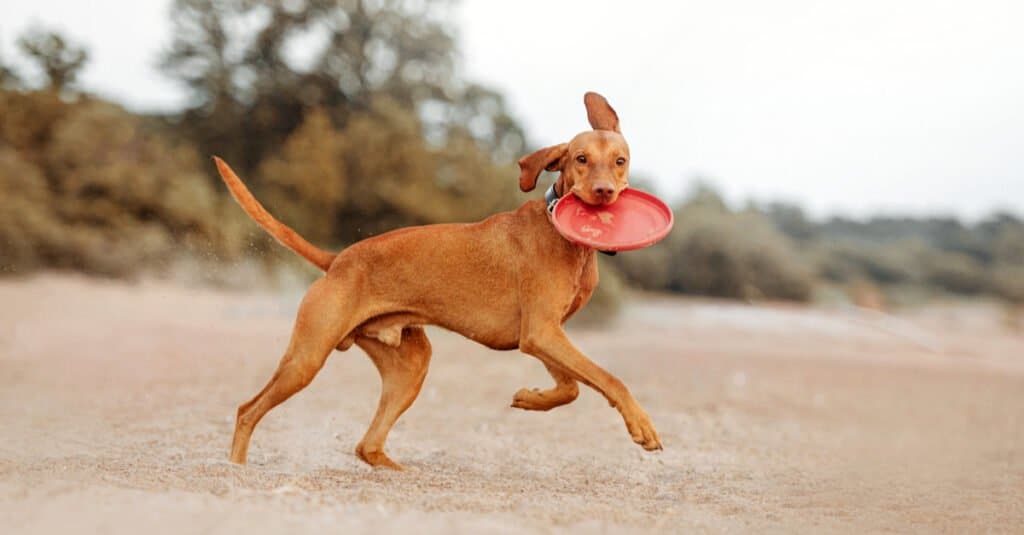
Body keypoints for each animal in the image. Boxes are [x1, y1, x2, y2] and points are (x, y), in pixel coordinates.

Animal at [216, 90, 663, 467]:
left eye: (620, 161)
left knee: (367, 445)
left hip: (410, 366)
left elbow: (572, 387)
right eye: (580, 159)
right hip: (307, 359)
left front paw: (530, 398)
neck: (563, 236)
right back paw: (237, 470)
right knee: (246, 411)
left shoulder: (545, 335)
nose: (604, 192)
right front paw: (641, 425)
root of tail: (338, 259)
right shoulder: (541, 333)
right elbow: (608, 378)